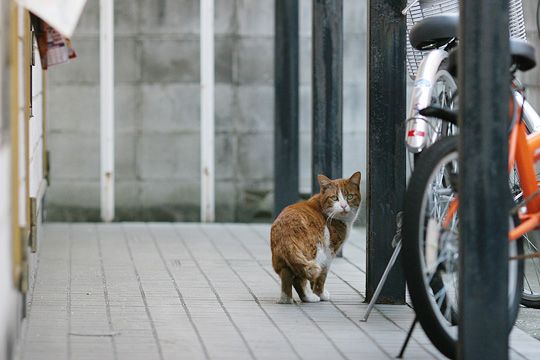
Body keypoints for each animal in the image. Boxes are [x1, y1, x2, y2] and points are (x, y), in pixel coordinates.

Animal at [270, 172, 362, 304]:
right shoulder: (329, 253)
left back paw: (286, 299)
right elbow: (321, 277)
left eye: (349, 196)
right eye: (334, 198)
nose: (344, 206)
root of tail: (285, 229)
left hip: (282, 261)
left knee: (288, 277)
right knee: (300, 277)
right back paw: (310, 297)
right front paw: (320, 294)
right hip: (314, 252)